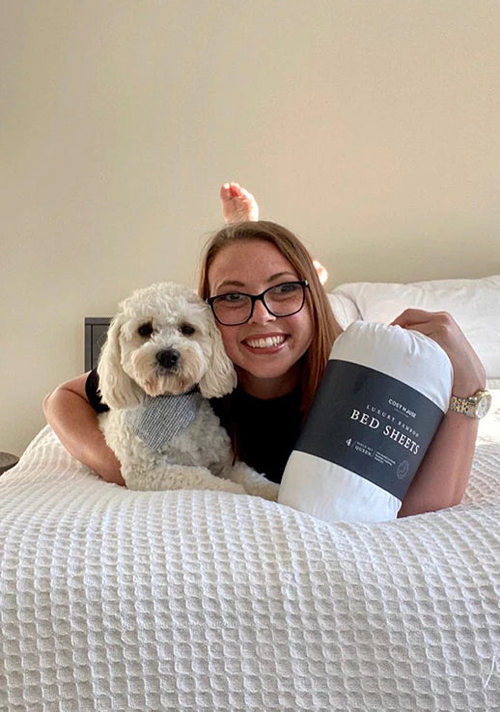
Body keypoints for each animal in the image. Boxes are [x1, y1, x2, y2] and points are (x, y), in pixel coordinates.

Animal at [96, 280, 280, 500]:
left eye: (187, 328)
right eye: (144, 329)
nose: (168, 356)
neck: (171, 400)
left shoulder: (224, 462)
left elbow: (251, 476)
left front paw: (274, 491)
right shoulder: (149, 472)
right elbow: (211, 481)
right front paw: (240, 493)